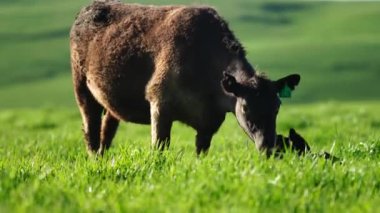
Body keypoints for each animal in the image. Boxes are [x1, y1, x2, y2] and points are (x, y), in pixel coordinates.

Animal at [68, 0, 300, 156]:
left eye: (277, 106)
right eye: (245, 107)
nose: (269, 147)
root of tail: (86, 9)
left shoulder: (209, 122)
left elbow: (201, 152)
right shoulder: (159, 102)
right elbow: (159, 148)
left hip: (111, 100)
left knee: (107, 129)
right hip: (81, 88)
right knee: (90, 129)